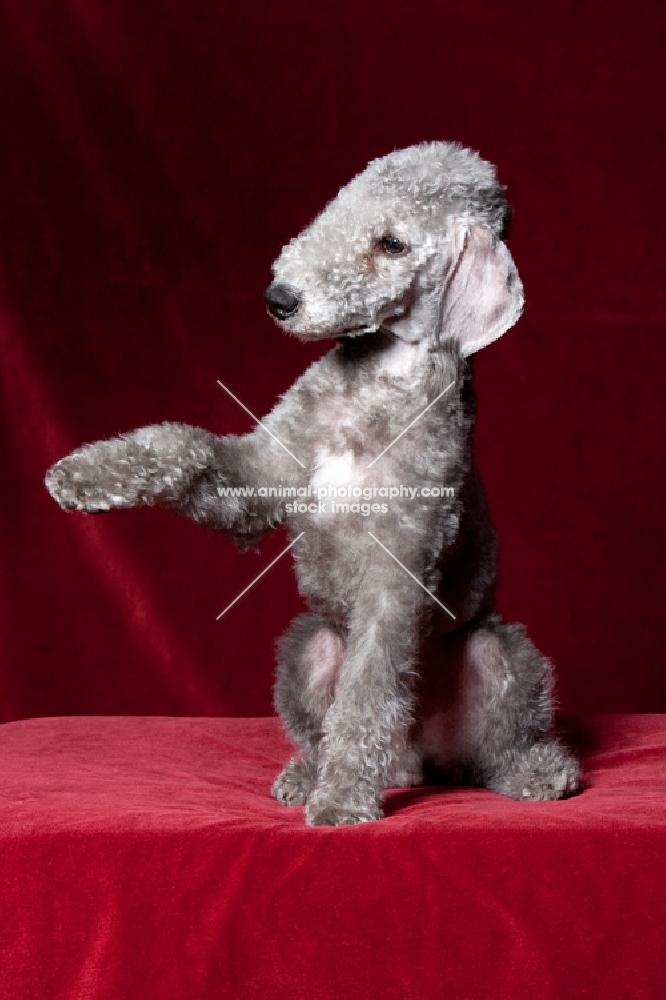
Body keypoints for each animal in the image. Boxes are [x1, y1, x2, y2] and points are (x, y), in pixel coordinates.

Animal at [46, 143, 580, 828]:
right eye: (338, 205)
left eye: (392, 243)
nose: (280, 297)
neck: (377, 381)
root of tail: (422, 760)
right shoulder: (262, 476)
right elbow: (183, 443)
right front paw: (81, 475)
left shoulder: (398, 571)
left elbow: (367, 692)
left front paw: (343, 799)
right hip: (309, 646)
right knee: (331, 724)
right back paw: (307, 775)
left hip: (499, 652)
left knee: (496, 744)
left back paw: (538, 774)